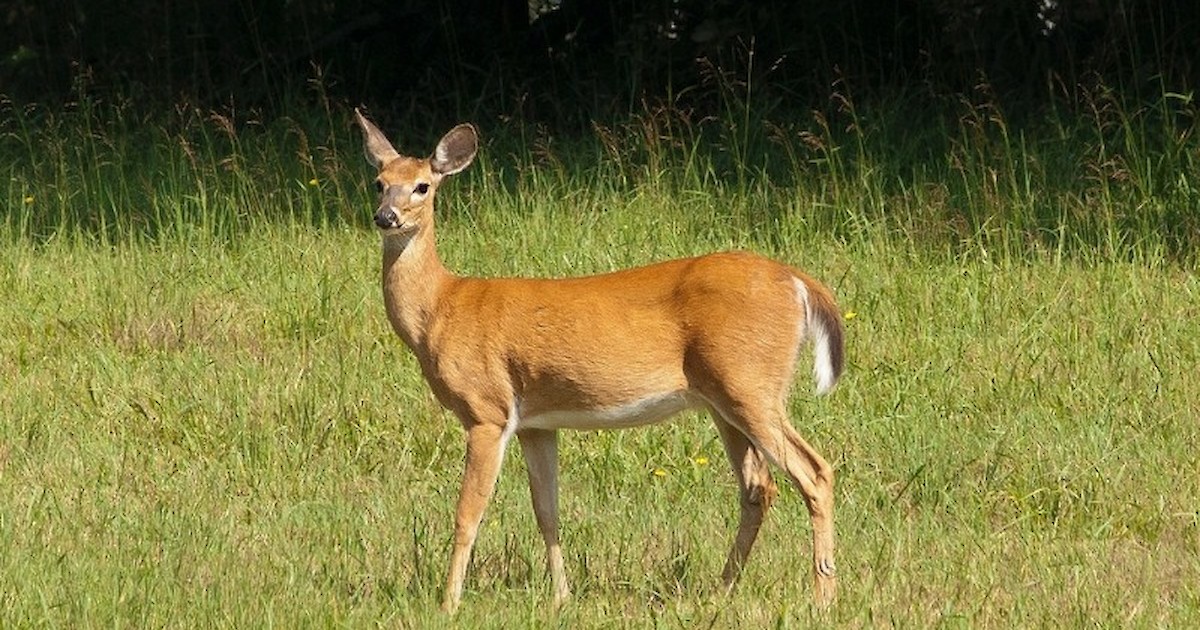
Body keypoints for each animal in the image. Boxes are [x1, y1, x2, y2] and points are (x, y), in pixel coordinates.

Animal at [352, 110, 844, 612]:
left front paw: (448, 603)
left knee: (815, 472)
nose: (385, 217)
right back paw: (720, 590)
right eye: (379, 182)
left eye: (422, 186)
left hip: (750, 382)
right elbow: (547, 511)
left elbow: (468, 512)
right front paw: (561, 597)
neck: (441, 308)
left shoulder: (486, 410)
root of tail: (798, 281)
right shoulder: (535, 423)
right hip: (723, 398)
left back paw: (823, 597)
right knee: (758, 487)